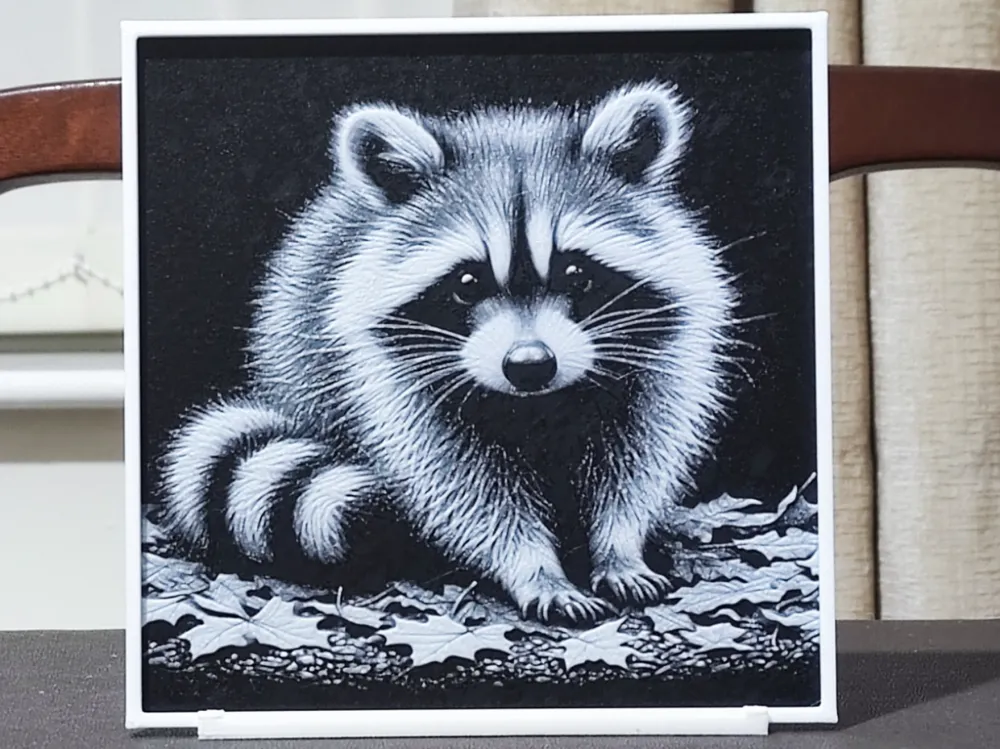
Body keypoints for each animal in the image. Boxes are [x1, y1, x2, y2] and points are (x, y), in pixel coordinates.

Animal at [157, 80, 739, 626]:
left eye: (576, 273)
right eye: (466, 282)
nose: (530, 366)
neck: (536, 406)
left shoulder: (663, 357)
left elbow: (634, 463)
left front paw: (619, 547)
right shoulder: (394, 380)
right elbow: (465, 488)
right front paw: (534, 568)